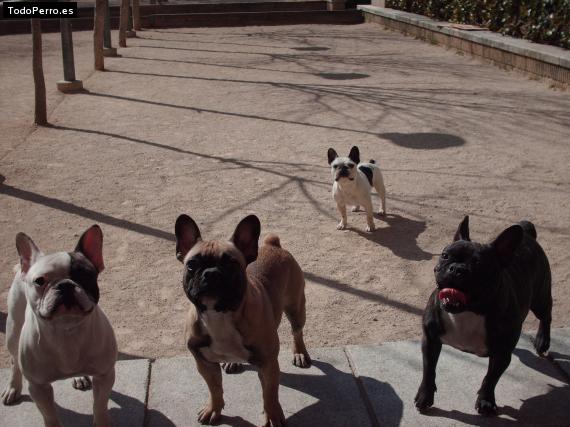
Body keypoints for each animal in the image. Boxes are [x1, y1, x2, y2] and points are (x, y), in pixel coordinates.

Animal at [412, 216, 552, 416]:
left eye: (479, 265)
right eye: (445, 255)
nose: (457, 268)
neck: (469, 311)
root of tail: (528, 234)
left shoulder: (501, 354)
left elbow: (490, 378)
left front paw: (486, 401)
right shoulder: (430, 341)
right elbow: (429, 370)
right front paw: (425, 396)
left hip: (540, 297)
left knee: (546, 315)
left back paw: (542, 340)